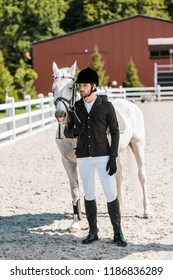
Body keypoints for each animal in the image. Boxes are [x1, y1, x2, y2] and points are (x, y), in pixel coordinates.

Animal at [51, 60, 151, 230]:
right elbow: (75, 191)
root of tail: (130, 104)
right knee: (118, 175)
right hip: (115, 154)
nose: (60, 115)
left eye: (71, 87)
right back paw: (120, 207)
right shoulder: (67, 162)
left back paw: (146, 211)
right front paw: (75, 223)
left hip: (138, 146)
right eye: (53, 88)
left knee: (141, 176)